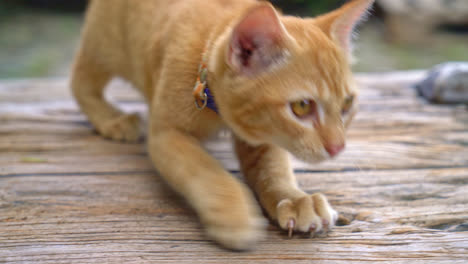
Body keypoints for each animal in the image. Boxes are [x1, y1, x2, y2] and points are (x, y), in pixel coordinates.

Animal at [71, 0, 374, 250]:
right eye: (302, 106)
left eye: (347, 103)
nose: (338, 147)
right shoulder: (166, 134)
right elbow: (204, 169)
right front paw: (235, 214)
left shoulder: (261, 136)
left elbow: (273, 169)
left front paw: (296, 199)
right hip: (106, 45)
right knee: (79, 78)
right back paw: (113, 119)